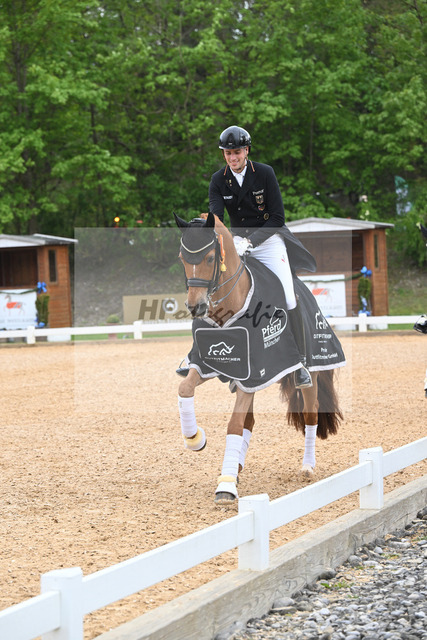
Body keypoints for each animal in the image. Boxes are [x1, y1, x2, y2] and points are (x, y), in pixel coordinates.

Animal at [175, 211, 344, 505]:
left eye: (210, 258)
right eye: (183, 258)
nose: (196, 307)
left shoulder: (253, 374)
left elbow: (233, 424)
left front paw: (226, 486)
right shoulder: (210, 365)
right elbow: (185, 388)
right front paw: (195, 439)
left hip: (309, 373)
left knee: (310, 414)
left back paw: (307, 466)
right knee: (250, 422)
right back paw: (237, 466)